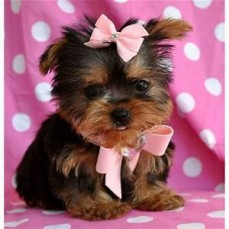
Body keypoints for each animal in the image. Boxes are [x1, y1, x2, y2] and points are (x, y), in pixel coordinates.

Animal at [15, 14, 192, 220]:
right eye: (92, 91)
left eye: (141, 85)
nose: (121, 113)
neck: (117, 142)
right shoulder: (75, 159)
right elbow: (86, 181)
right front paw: (100, 206)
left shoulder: (148, 148)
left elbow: (147, 169)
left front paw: (155, 196)